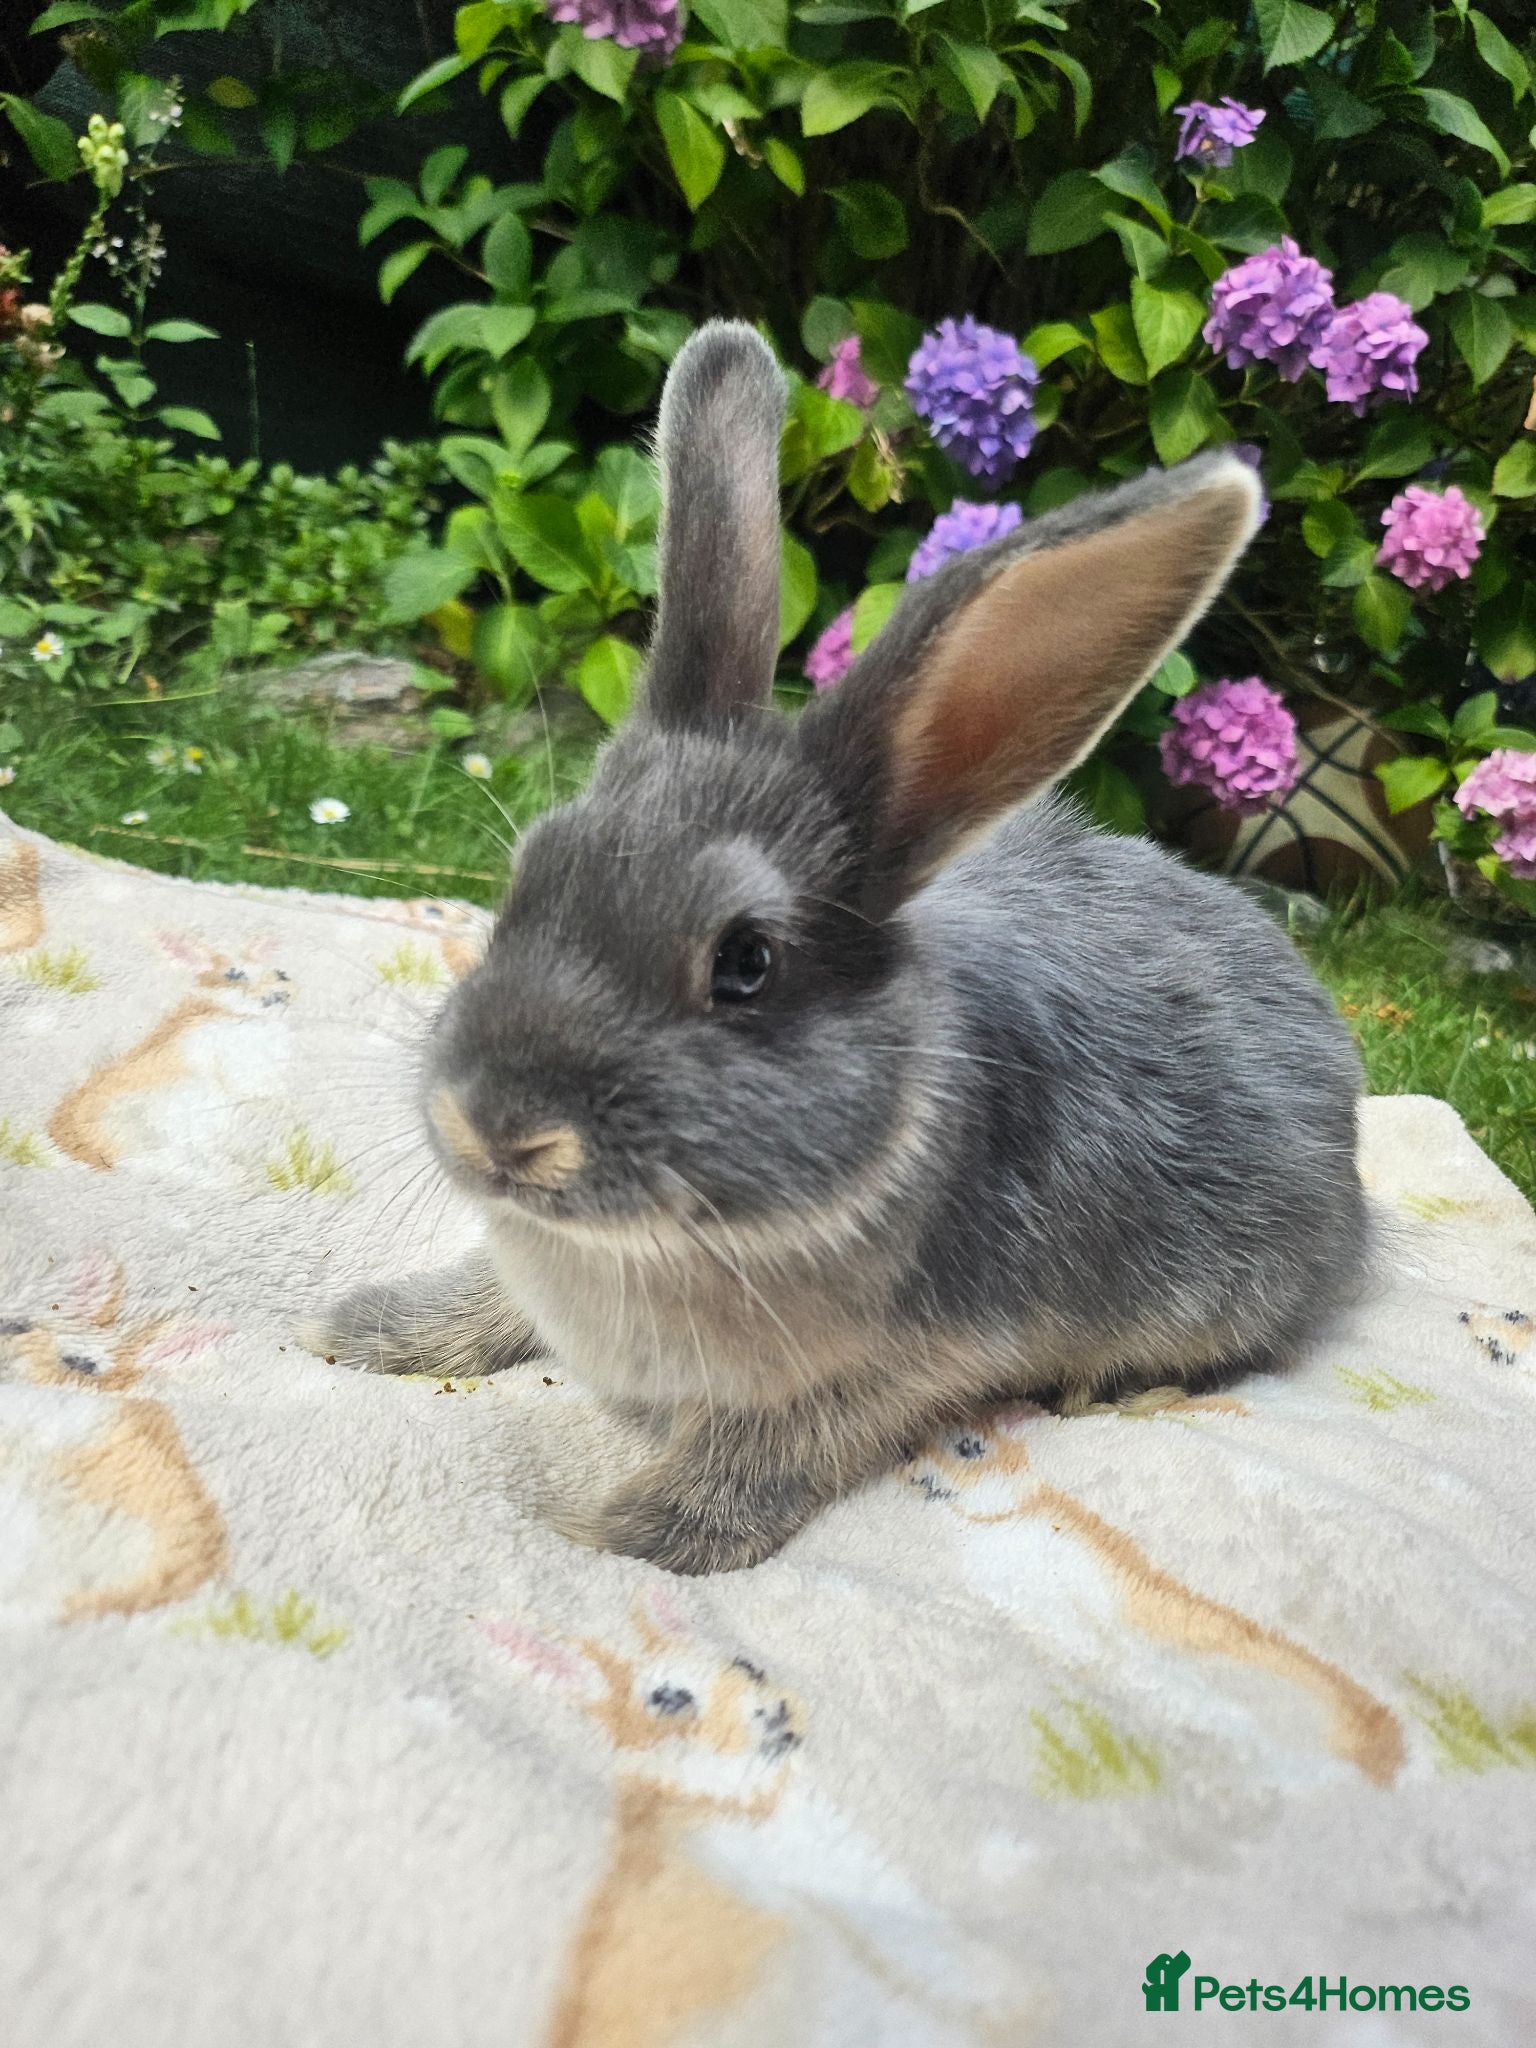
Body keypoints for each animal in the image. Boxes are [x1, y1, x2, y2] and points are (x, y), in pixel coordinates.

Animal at [308, 321, 1367, 1575]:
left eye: (746, 962)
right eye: (527, 880)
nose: (497, 1130)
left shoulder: (910, 1362)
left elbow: (774, 1446)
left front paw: (641, 1529)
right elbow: (490, 1296)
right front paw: (371, 1327)